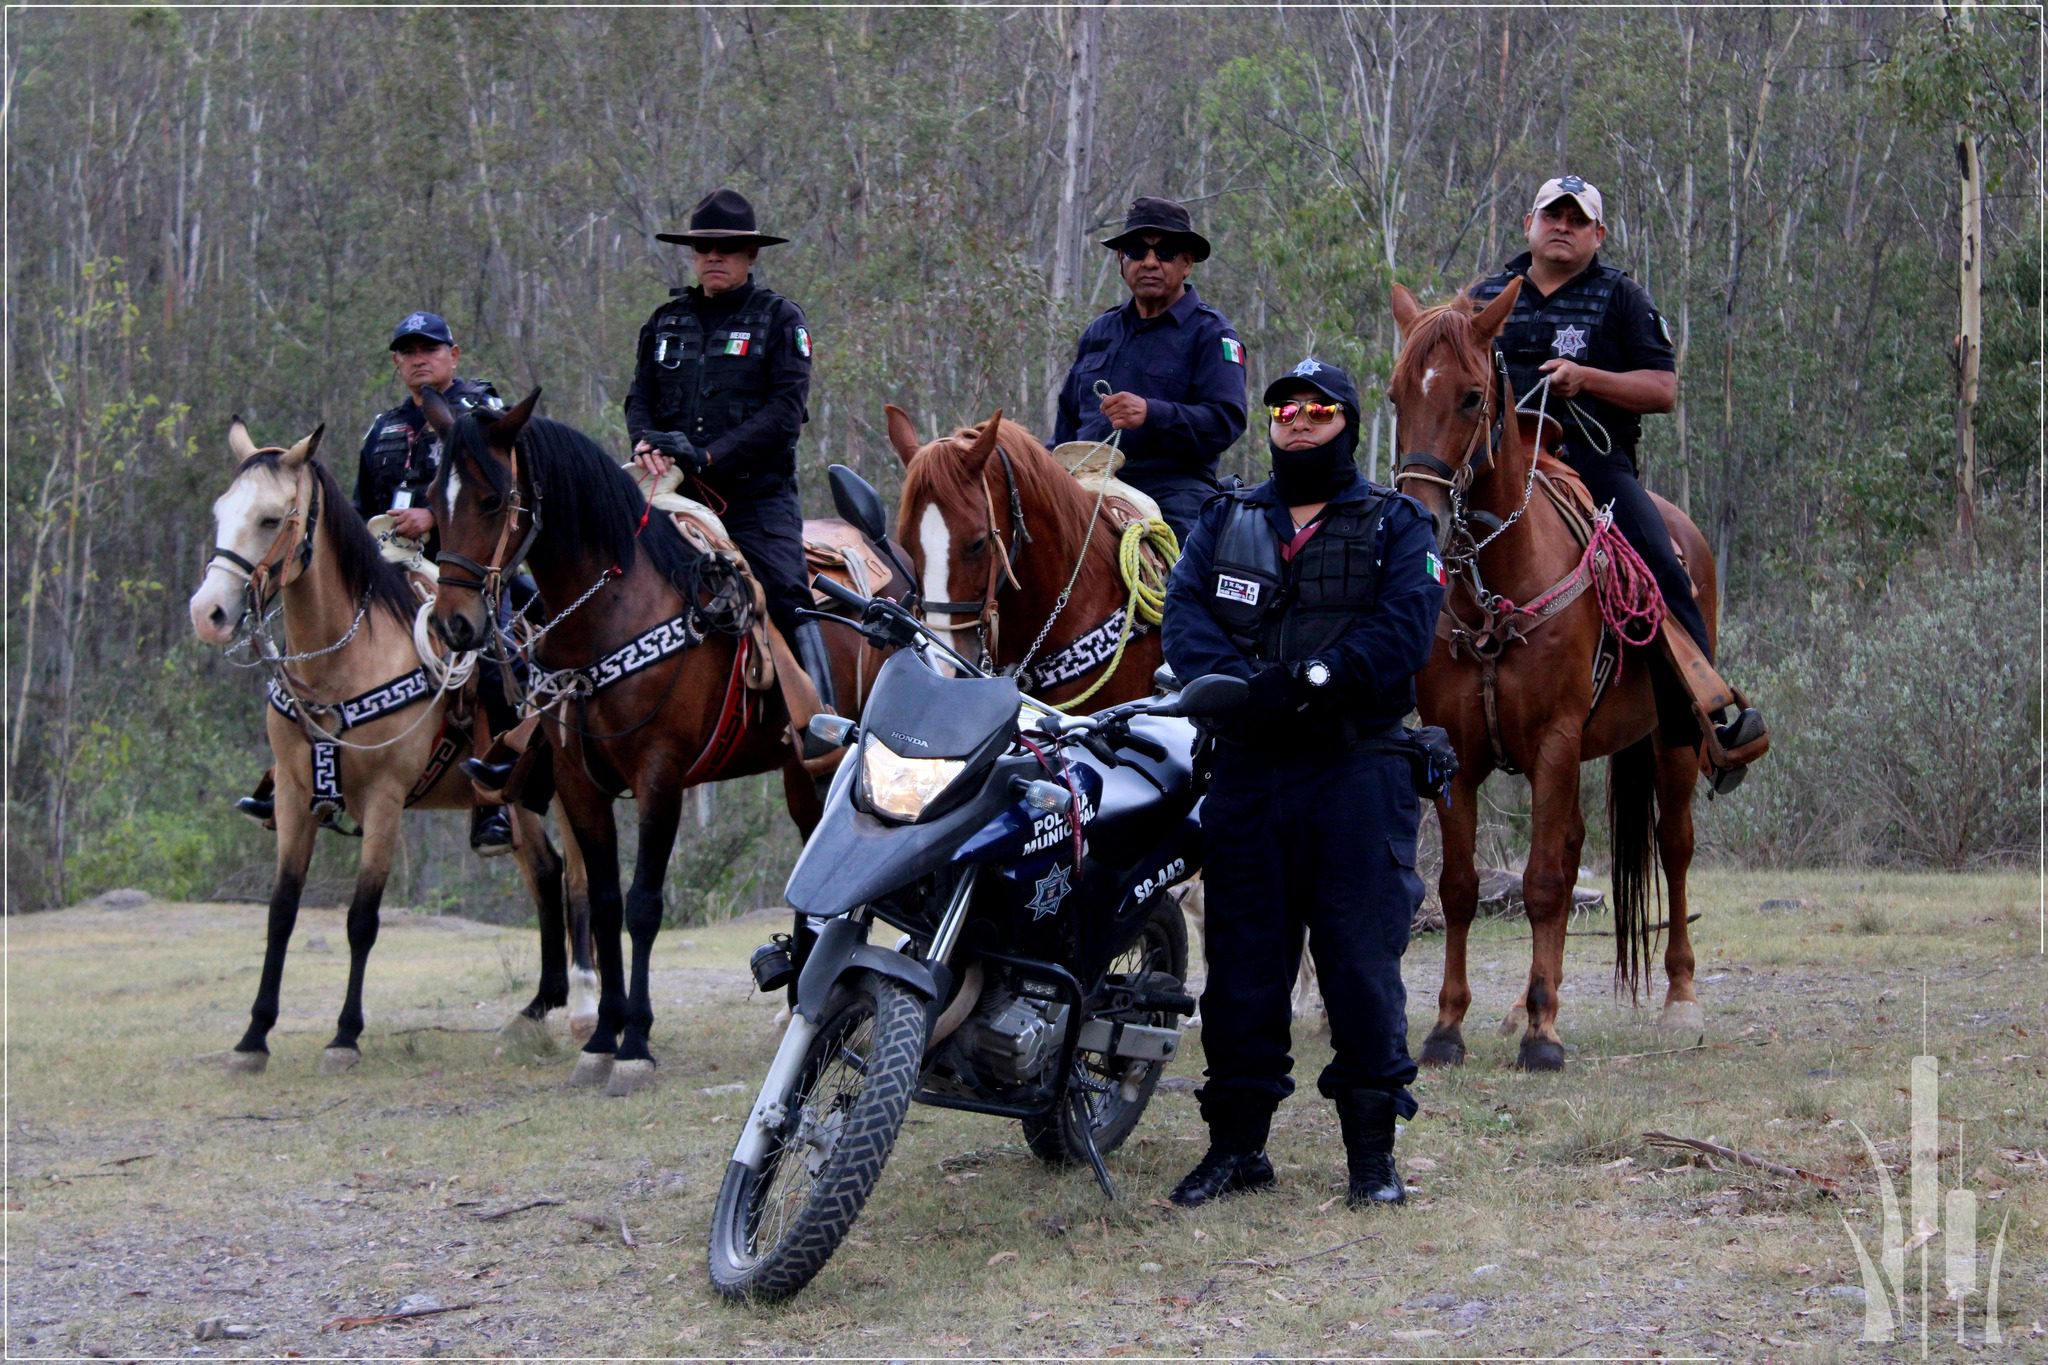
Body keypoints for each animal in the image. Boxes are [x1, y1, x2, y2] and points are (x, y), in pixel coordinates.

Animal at [190, 417, 598, 1080]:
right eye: (222, 512)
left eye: (272, 519)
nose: (209, 613)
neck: (341, 663)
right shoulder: (294, 801)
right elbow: (280, 914)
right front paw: (254, 1037)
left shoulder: (383, 804)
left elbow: (362, 919)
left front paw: (344, 1036)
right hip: (514, 798)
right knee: (546, 873)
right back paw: (537, 1007)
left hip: (564, 787)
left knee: (580, 879)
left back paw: (586, 1007)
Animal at [423, 388, 872, 1096]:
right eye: (434, 498)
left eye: (492, 500)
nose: (454, 625)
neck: (609, 616)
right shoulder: (579, 786)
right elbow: (605, 904)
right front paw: (602, 1036)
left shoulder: (659, 779)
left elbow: (642, 906)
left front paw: (634, 1044)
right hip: (801, 772)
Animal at [1384, 278, 1720, 1064]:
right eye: (1394, 395)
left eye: (1472, 396)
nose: (1420, 514)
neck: (1496, 586)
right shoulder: (1459, 749)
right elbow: (1463, 888)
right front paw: (1450, 1028)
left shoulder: (1556, 742)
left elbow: (1538, 883)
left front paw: (1542, 1038)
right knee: (1570, 856)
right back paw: (1527, 1002)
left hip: (1672, 743)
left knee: (1674, 847)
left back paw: (1679, 998)